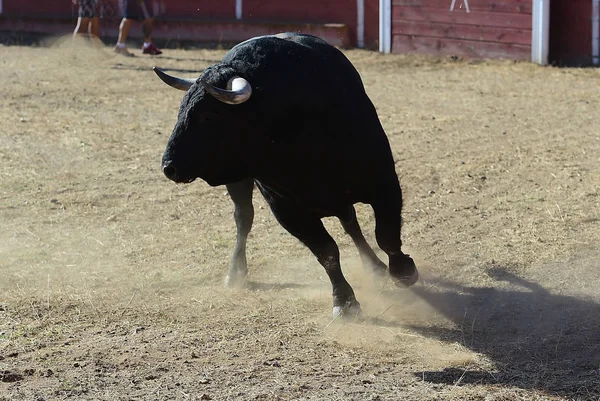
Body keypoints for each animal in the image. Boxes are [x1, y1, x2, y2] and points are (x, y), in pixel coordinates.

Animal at [154, 32, 418, 318]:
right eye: (182, 109)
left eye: (208, 115)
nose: (169, 167)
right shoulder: (287, 209)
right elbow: (326, 252)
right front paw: (344, 301)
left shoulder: (384, 183)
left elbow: (386, 235)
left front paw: (404, 271)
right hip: (240, 182)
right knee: (244, 218)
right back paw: (236, 273)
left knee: (351, 224)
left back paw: (375, 266)